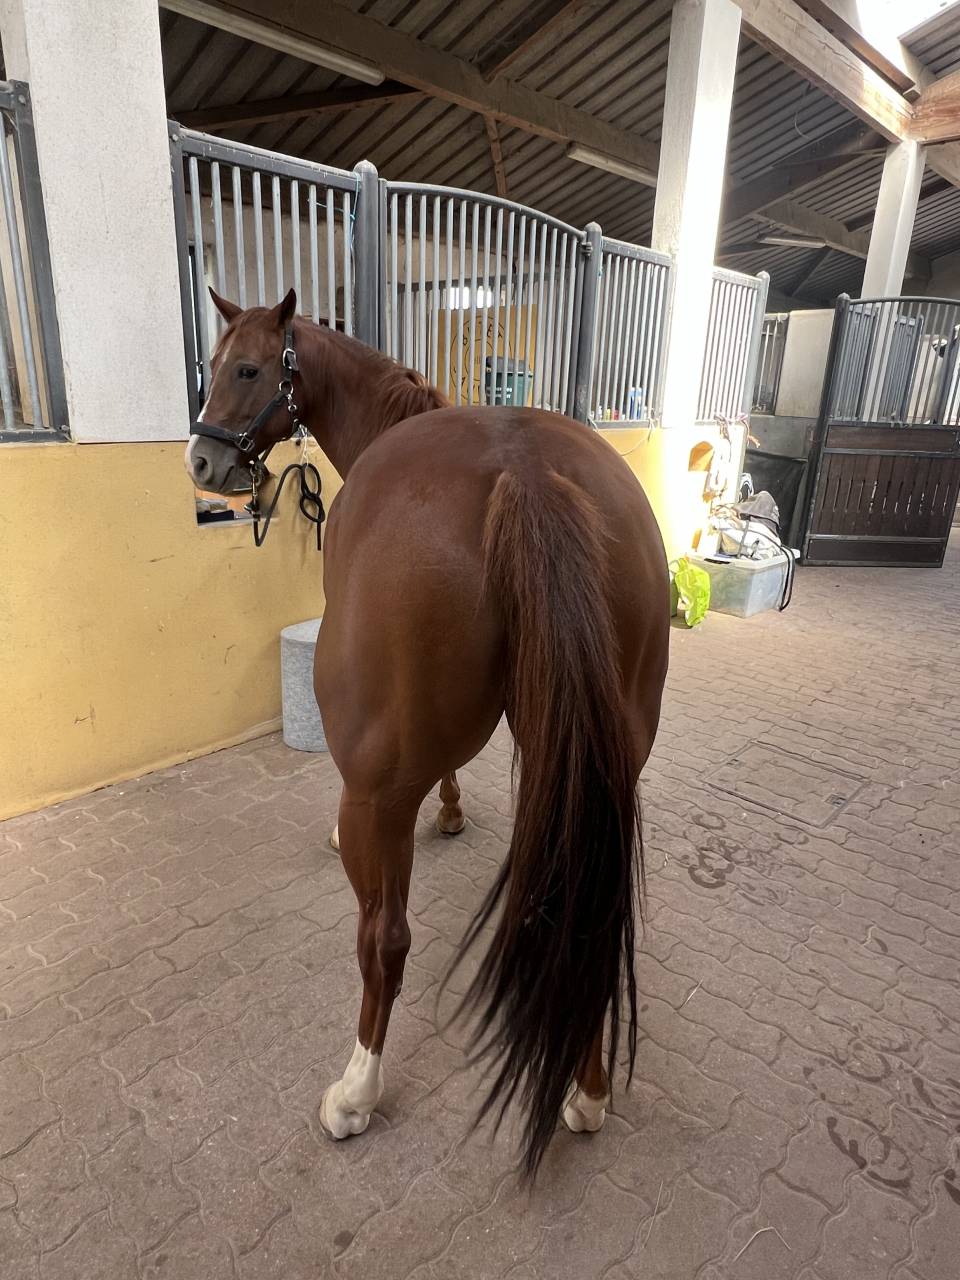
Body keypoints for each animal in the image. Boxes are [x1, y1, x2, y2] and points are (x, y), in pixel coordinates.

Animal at [185, 288, 670, 1175]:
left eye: (247, 368)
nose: (202, 465)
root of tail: (523, 473)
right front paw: (453, 811)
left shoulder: (386, 778)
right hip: (600, 761)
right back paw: (587, 1093)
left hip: (375, 793)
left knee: (385, 939)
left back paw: (356, 1092)